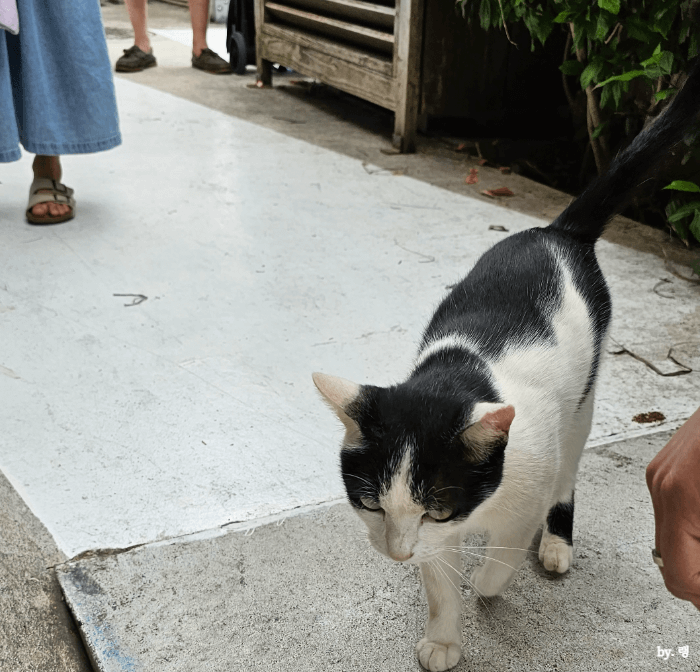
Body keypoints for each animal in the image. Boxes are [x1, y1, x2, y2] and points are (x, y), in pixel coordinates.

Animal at [314, 59, 700, 672]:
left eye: (437, 508)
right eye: (371, 504)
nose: (397, 554)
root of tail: (557, 232)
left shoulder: (522, 490)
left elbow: (505, 554)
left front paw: (488, 584)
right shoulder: (436, 542)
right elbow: (440, 585)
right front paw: (445, 635)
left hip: (582, 403)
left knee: (568, 470)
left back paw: (557, 544)